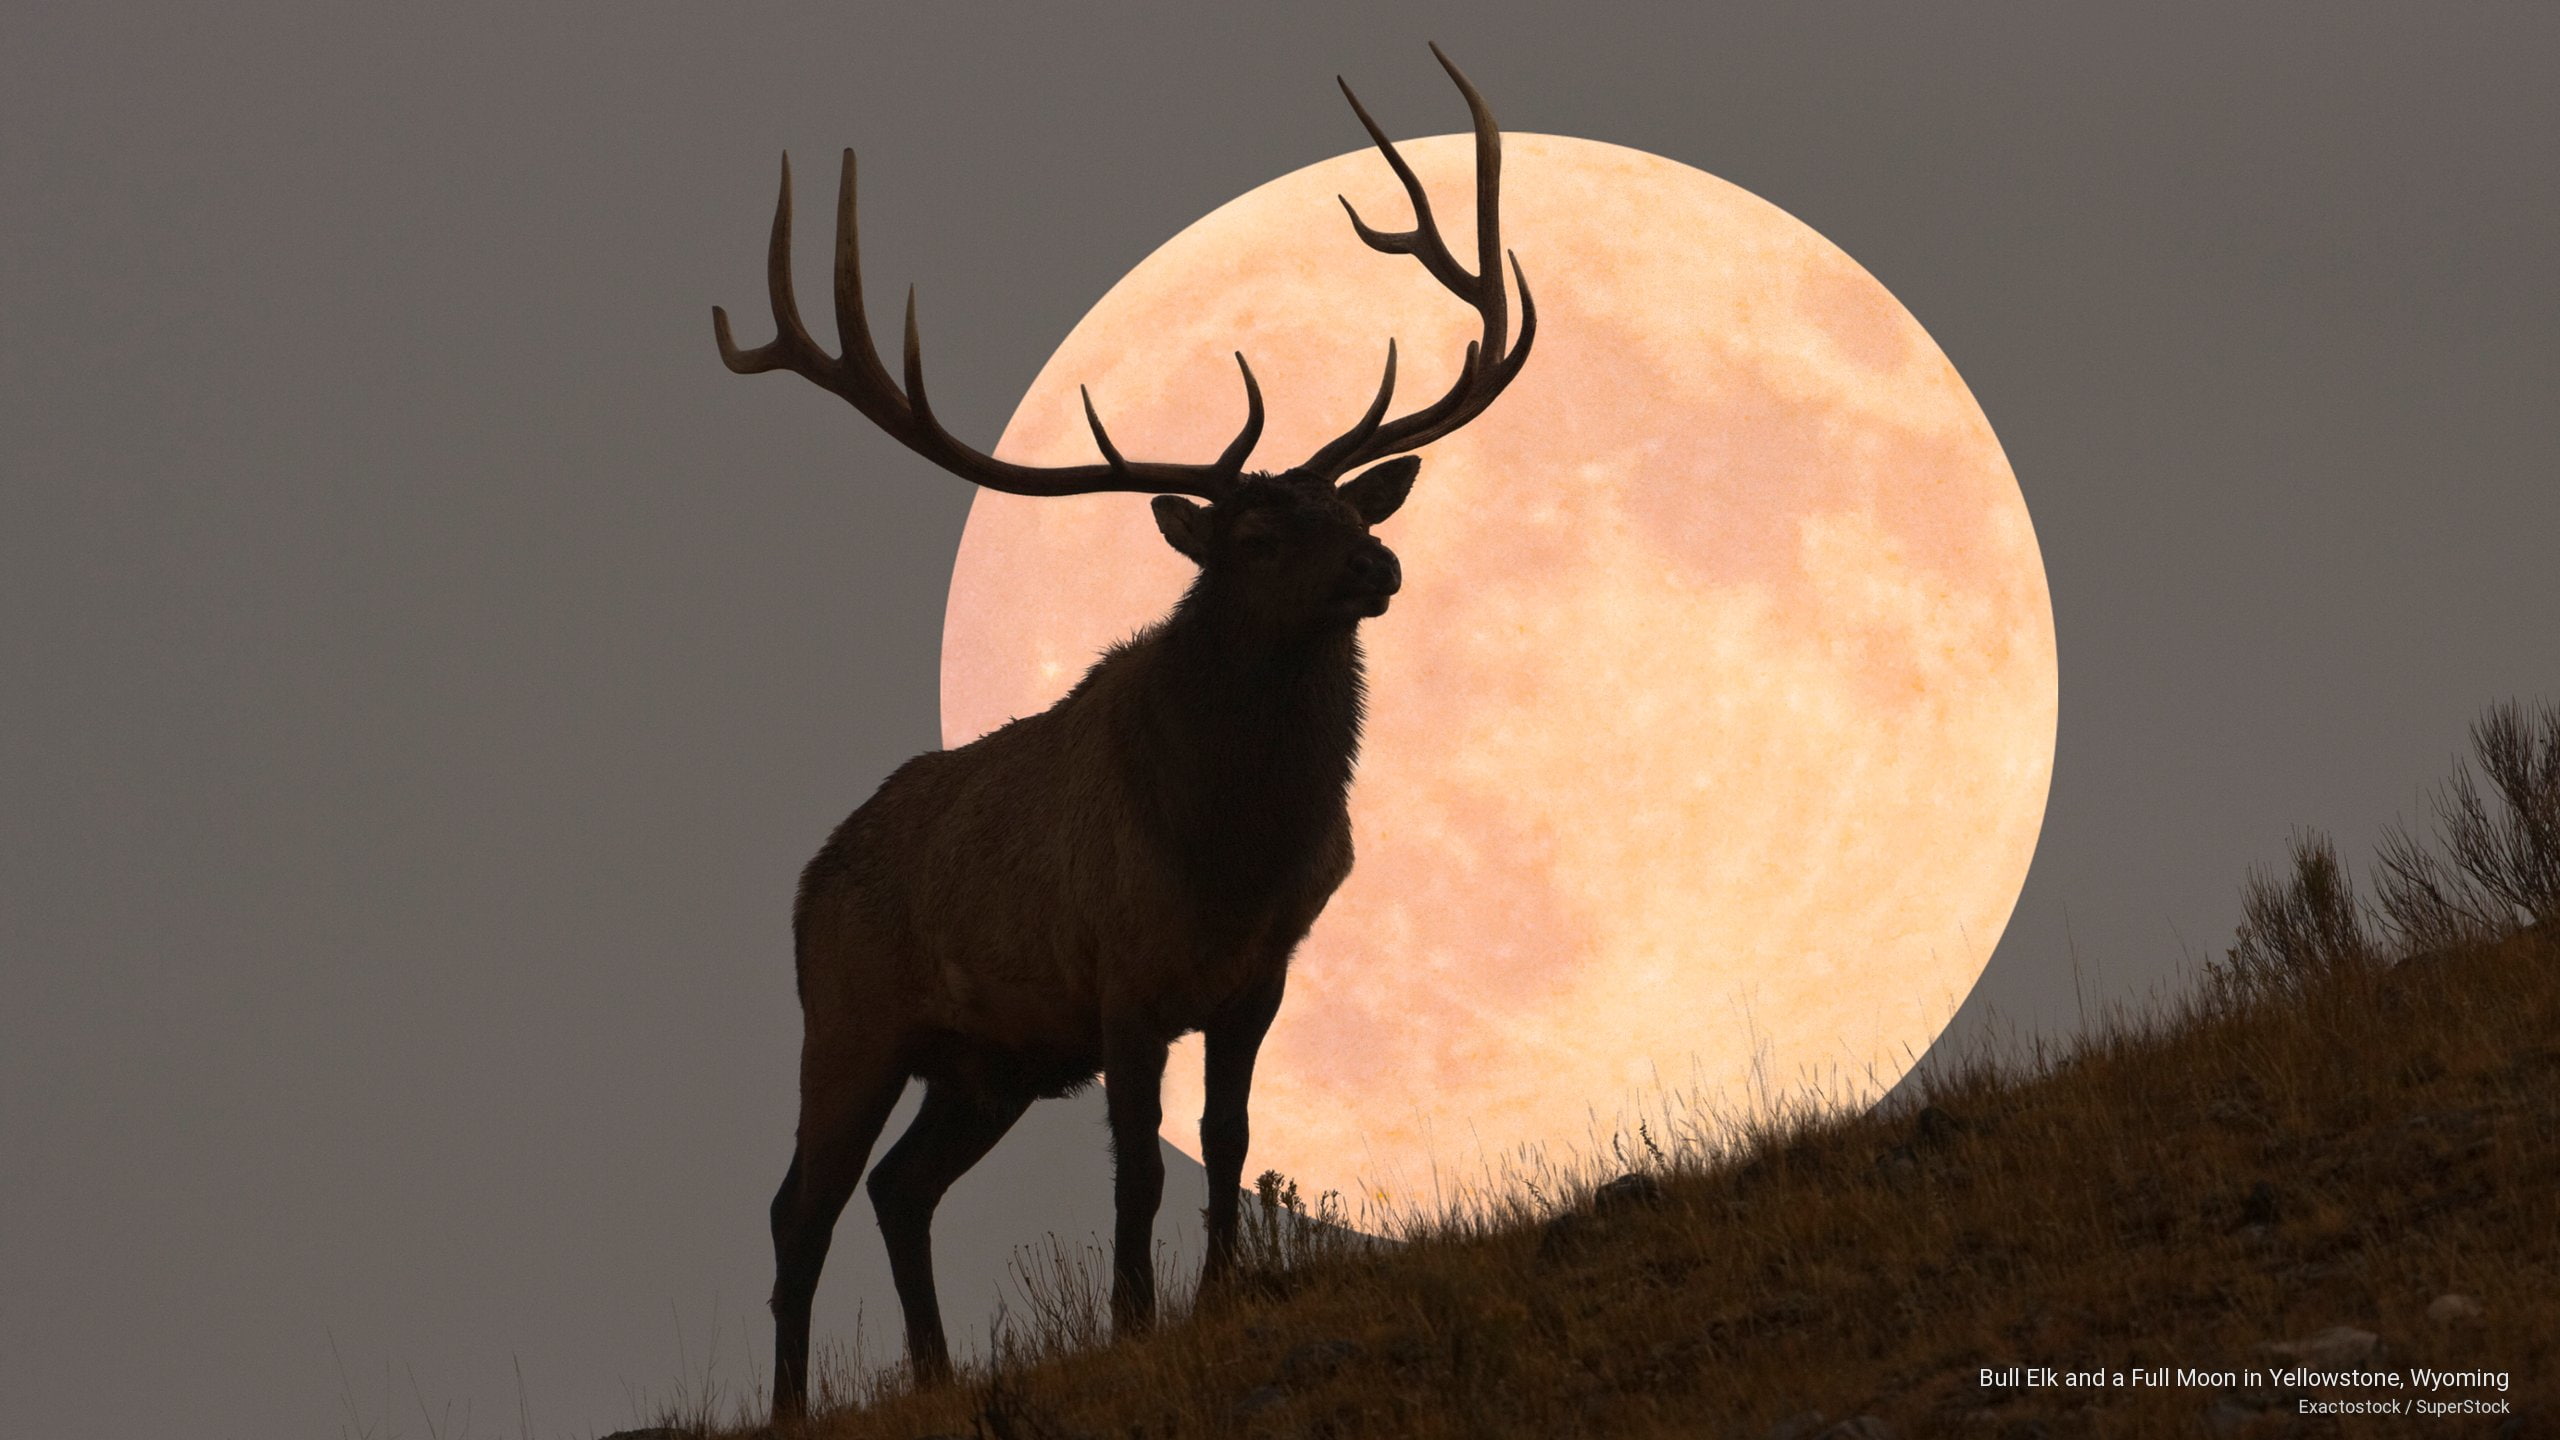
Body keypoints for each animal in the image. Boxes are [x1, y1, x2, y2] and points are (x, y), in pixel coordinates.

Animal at [710, 45, 1533, 1422]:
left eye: (1343, 509)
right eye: (1254, 534)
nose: (1379, 566)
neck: (1230, 848)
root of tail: (806, 880)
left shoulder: (1258, 974)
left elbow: (1228, 1143)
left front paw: (1214, 1294)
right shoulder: (1123, 981)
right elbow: (1138, 1174)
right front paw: (1134, 1320)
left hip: (983, 1062)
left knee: (898, 1187)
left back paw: (936, 1372)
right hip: (850, 1016)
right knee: (797, 1209)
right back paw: (788, 1408)